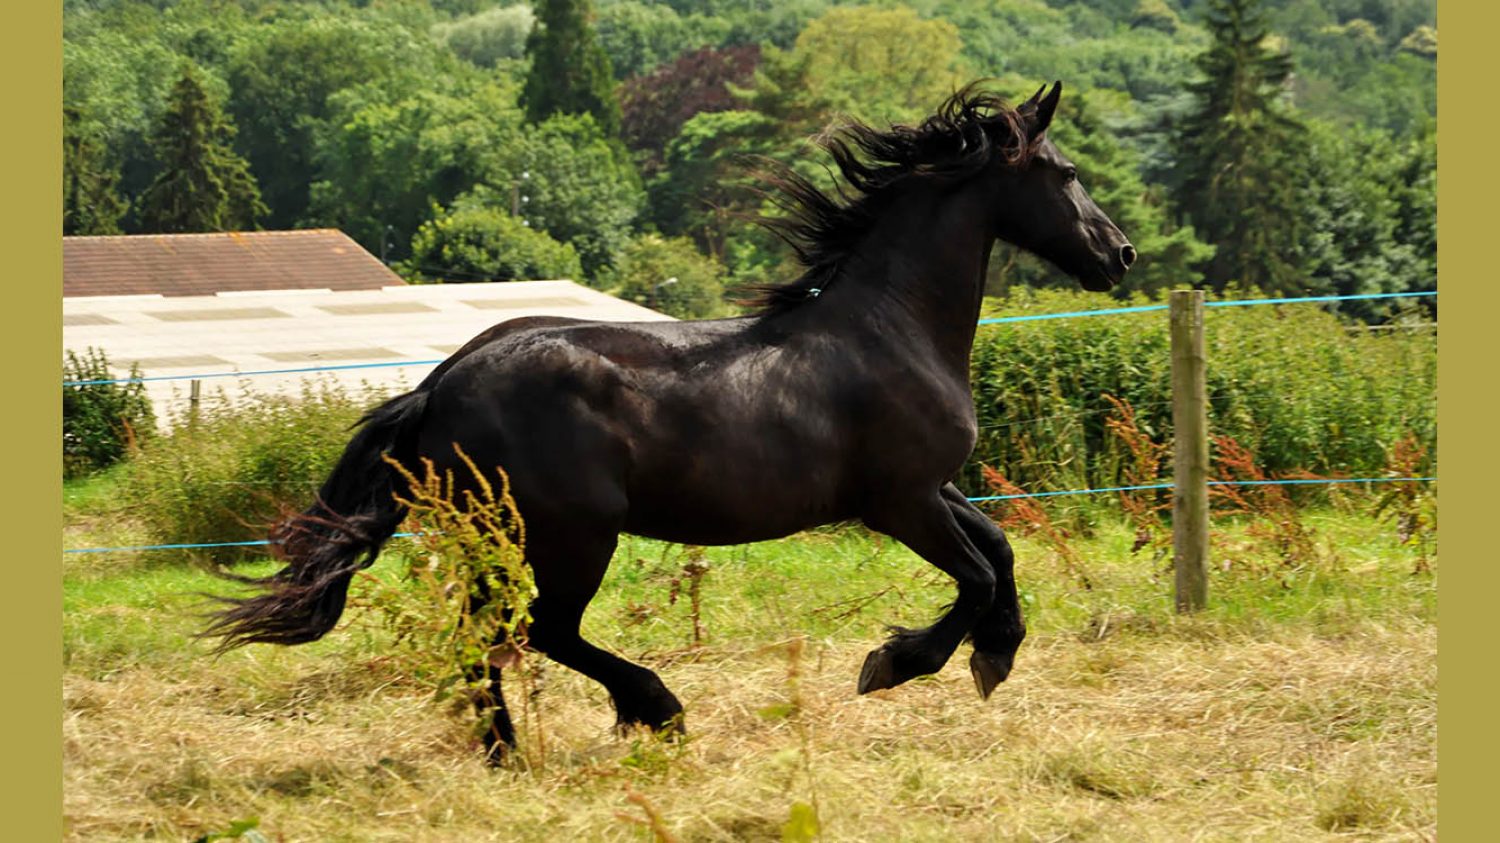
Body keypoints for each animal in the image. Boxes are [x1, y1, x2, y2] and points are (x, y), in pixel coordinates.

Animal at [203, 80, 1134, 763]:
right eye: (1064, 172)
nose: (1119, 254)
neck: (893, 326)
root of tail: (441, 385)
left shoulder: (931, 489)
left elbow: (1000, 550)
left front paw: (996, 653)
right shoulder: (898, 501)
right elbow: (974, 575)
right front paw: (895, 664)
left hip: (494, 538)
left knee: (485, 635)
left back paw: (506, 750)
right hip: (571, 535)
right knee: (542, 629)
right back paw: (653, 710)